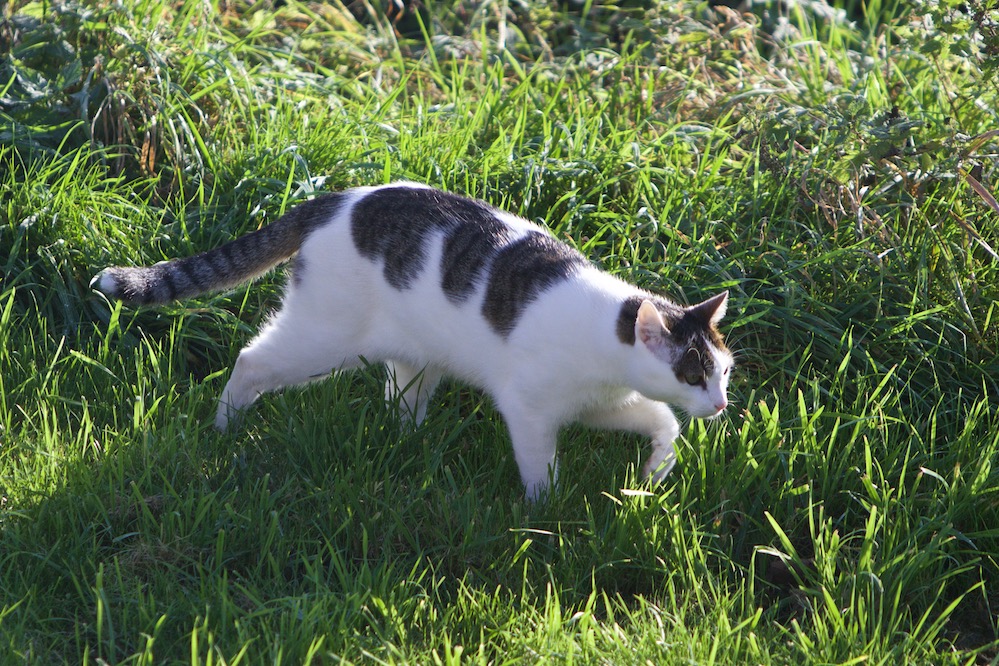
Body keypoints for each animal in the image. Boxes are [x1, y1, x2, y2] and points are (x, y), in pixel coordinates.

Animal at [94, 182, 736, 498]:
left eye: (724, 372)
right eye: (692, 373)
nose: (722, 405)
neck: (605, 340)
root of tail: (335, 199)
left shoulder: (602, 404)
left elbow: (663, 422)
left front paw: (653, 474)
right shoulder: (529, 409)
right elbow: (540, 470)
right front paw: (545, 512)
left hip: (411, 358)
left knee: (401, 401)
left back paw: (410, 449)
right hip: (322, 340)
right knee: (251, 361)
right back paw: (225, 428)